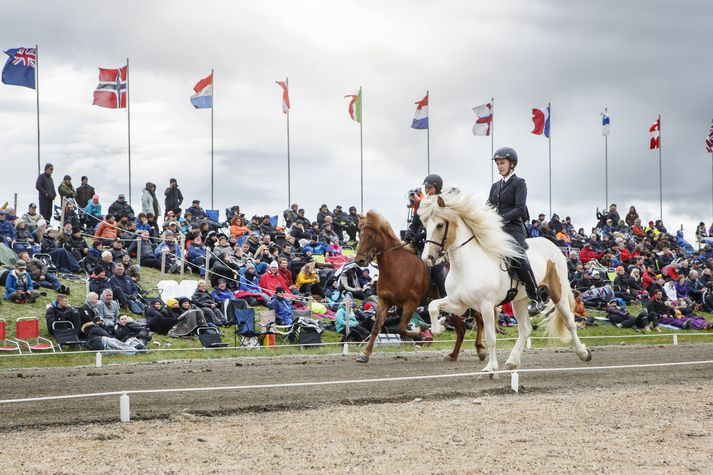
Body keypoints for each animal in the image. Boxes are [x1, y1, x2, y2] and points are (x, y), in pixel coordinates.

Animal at [350, 210, 484, 362]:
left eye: (370, 236)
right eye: (360, 235)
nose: (359, 260)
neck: (397, 267)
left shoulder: (411, 303)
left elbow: (401, 328)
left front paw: (421, 331)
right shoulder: (384, 301)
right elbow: (376, 328)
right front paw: (365, 354)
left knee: (480, 320)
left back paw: (481, 350)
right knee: (462, 330)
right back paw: (453, 355)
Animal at [418, 191, 588, 376]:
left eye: (440, 225)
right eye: (425, 226)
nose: (427, 258)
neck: (466, 265)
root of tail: (552, 245)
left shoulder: (486, 305)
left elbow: (491, 337)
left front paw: (491, 368)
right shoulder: (459, 304)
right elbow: (433, 306)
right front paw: (438, 328)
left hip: (558, 293)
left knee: (570, 322)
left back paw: (584, 353)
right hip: (519, 301)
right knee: (525, 329)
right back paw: (512, 362)